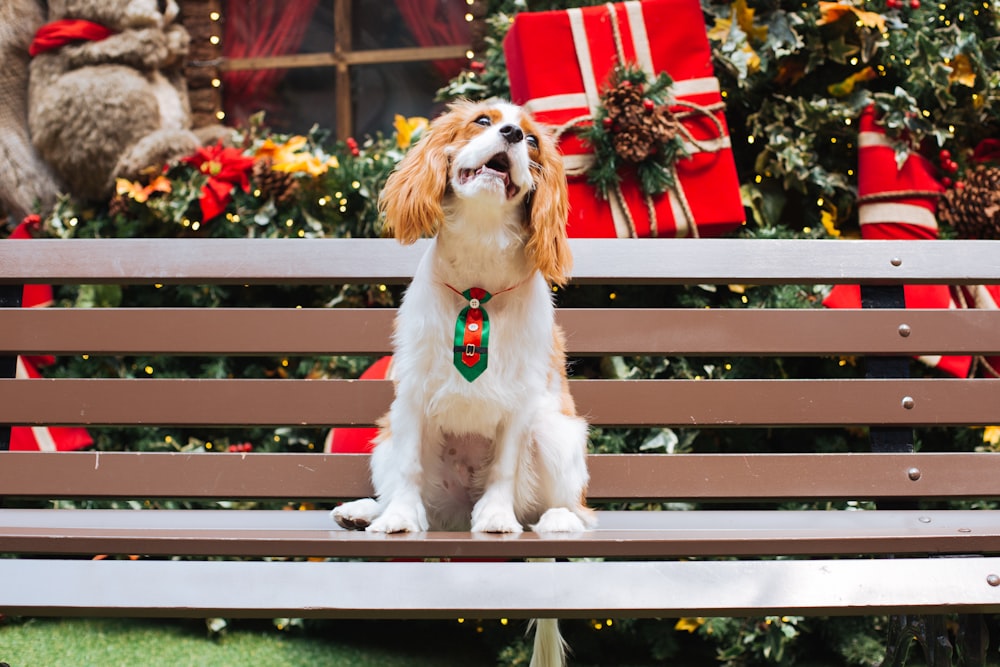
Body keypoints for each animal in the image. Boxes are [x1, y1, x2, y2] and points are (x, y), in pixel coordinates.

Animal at [328, 100, 592, 667]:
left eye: (532, 141)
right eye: (483, 121)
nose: (511, 134)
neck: (478, 277)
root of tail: (451, 517)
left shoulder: (523, 399)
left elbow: (504, 467)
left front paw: (495, 517)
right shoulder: (410, 394)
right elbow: (408, 469)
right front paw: (398, 518)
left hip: (558, 432)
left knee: (580, 510)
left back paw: (558, 519)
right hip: (382, 441)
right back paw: (365, 511)